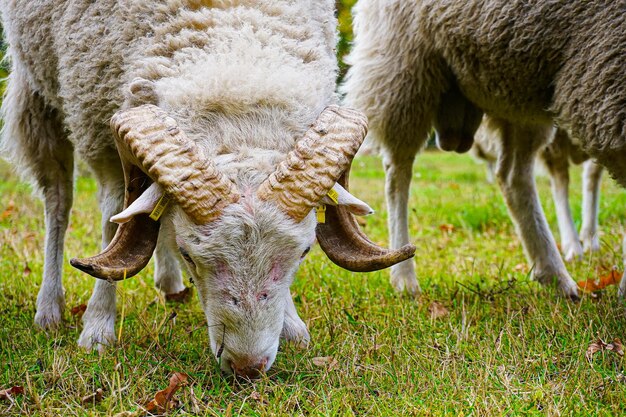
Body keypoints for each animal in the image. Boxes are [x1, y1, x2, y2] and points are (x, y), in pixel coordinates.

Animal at [1, 0, 414, 376]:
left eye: (304, 252)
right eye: (190, 256)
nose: (248, 367)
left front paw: (293, 325)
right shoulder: (98, 131)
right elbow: (112, 222)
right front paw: (98, 327)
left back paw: (169, 284)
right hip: (38, 92)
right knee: (59, 203)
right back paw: (49, 308)